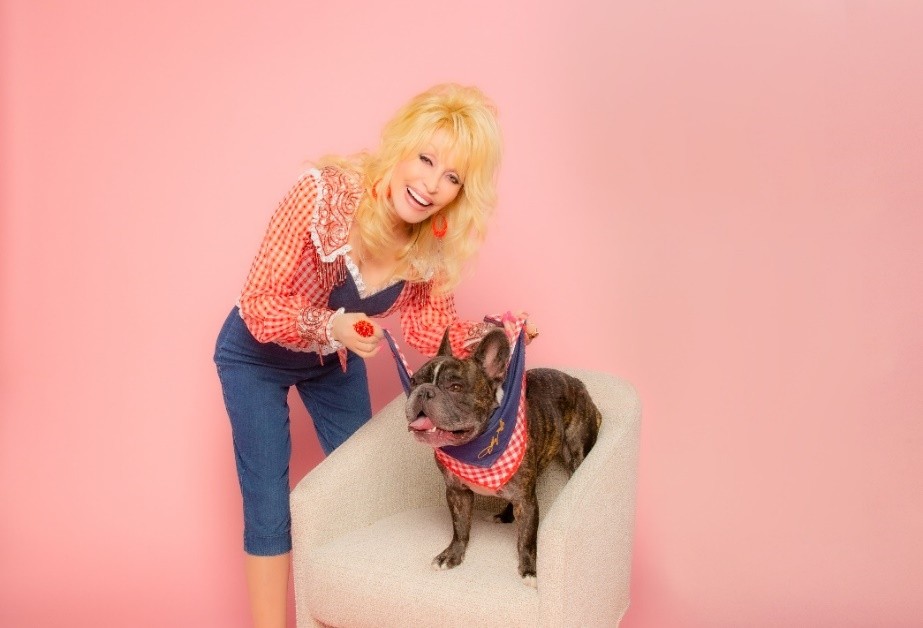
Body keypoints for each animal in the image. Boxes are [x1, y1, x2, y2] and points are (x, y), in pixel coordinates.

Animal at [408, 326, 604, 588]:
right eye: (413, 382)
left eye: (455, 387)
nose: (424, 391)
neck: (475, 448)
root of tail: (579, 384)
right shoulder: (457, 492)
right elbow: (460, 527)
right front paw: (452, 555)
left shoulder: (526, 501)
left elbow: (527, 539)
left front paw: (530, 569)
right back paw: (505, 514)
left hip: (577, 452)